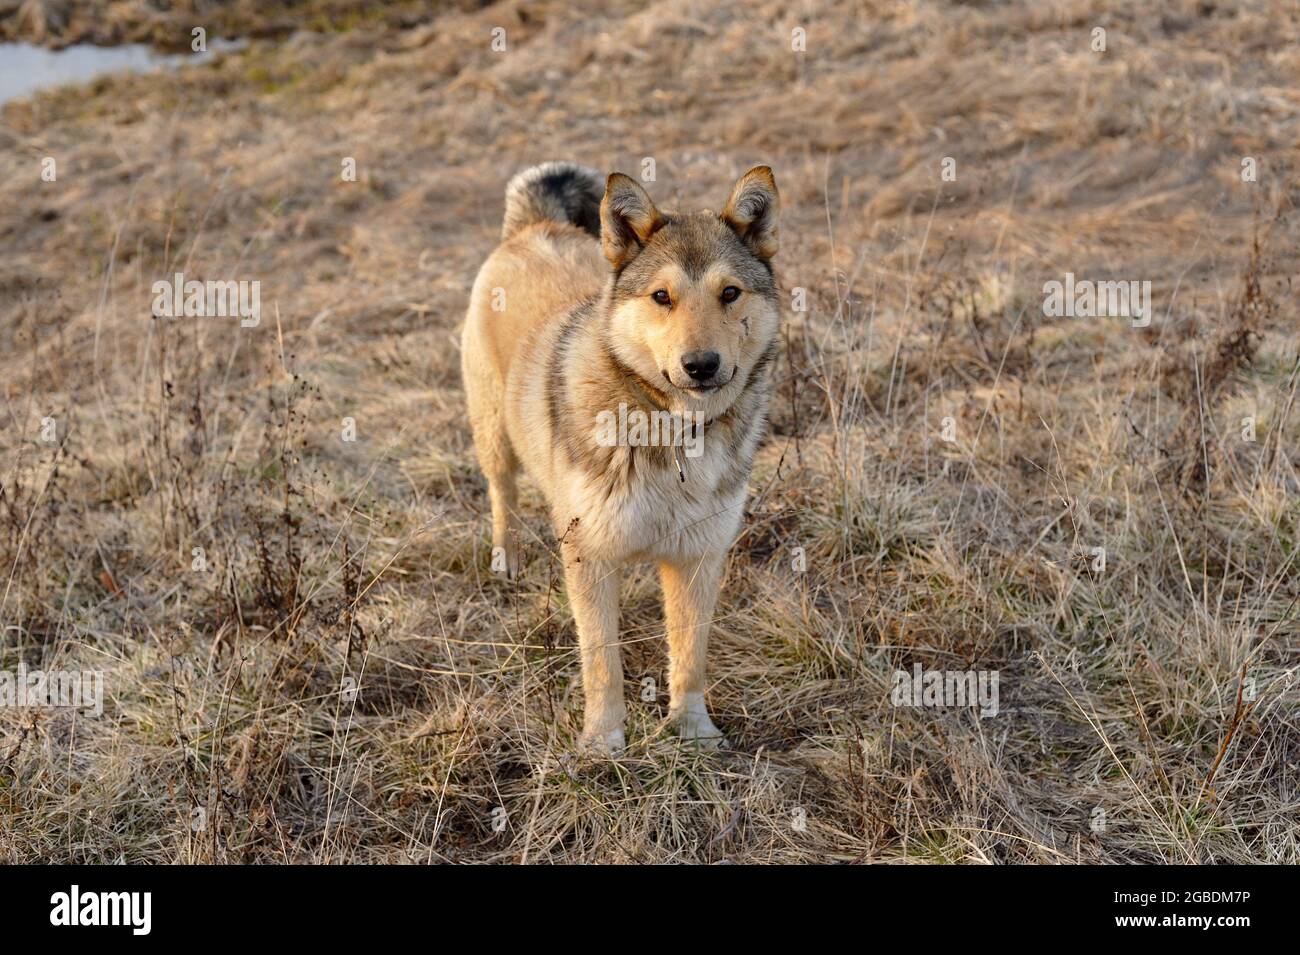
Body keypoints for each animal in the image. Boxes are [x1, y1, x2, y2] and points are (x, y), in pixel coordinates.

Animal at [460, 162, 774, 753]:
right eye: (661, 297)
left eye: (729, 293)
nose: (701, 365)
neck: (671, 433)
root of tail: (534, 226)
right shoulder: (589, 557)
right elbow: (602, 661)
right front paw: (603, 743)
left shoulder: (699, 558)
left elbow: (690, 658)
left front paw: (693, 732)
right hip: (493, 436)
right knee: (502, 494)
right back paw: (505, 558)